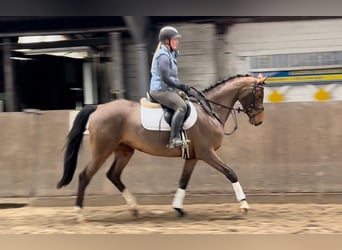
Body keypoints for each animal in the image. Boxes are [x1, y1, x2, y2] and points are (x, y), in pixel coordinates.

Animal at [56, 73, 268, 221]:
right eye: (258, 94)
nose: (259, 121)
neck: (209, 111)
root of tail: (99, 107)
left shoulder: (193, 157)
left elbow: (183, 181)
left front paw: (178, 208)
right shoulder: (206, 153)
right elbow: (231, 172)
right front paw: (244, 205)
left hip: (124, 150)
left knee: (113, 175)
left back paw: (134, 209)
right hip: (102, 150)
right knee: (85, 176)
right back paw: (79, 214)